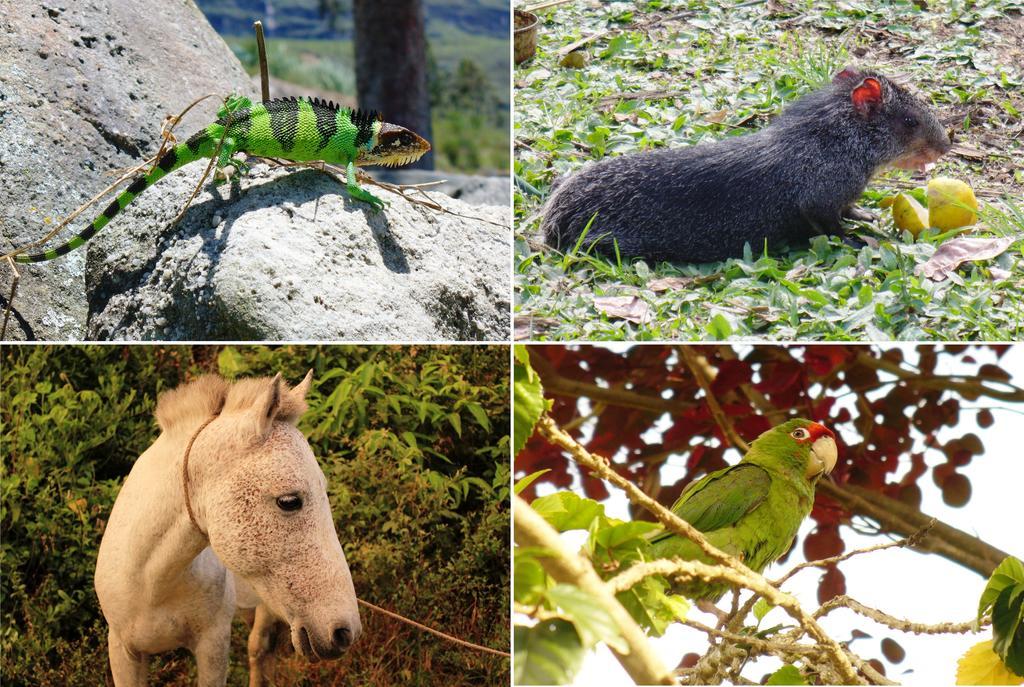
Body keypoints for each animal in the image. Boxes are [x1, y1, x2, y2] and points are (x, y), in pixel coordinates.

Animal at [96, 372, 360, 683]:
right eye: (289, 501)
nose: (345, 632)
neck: (152, 584)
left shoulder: (213, 646)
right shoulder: (123, 651)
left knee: (259, 650)